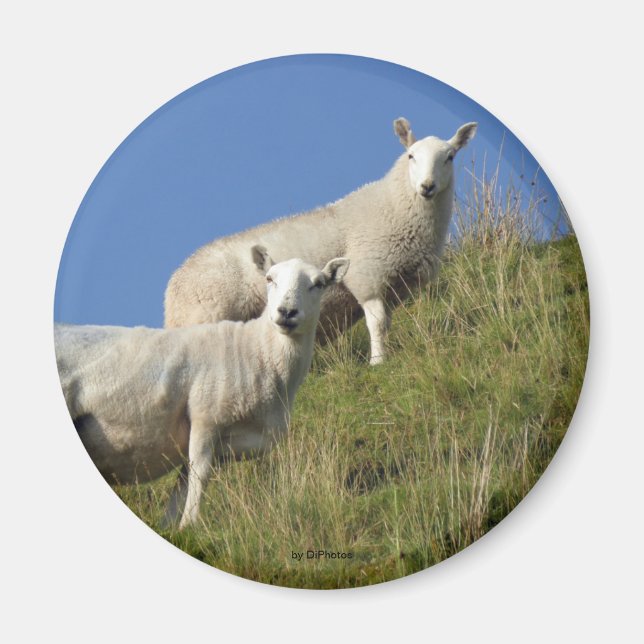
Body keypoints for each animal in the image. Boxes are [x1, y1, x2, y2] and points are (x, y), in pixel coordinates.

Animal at [55, 254, 350, 529]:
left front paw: (173, 528)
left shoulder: (222, 443)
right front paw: (191, 524)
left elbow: (184, 484)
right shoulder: (206, 418)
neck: (257, 351)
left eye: (318, 284)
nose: (287, 312)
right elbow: (200, 474)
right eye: (269, 278)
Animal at [164, 118, 477, 364]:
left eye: (450, 157)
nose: (427, 186)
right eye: (411, 155)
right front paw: (378, 362)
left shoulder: (393, 285)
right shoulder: (368, 277)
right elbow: (376, 324)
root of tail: (173, 289)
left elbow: (385, 323)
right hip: (208, 313)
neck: (394, 204)